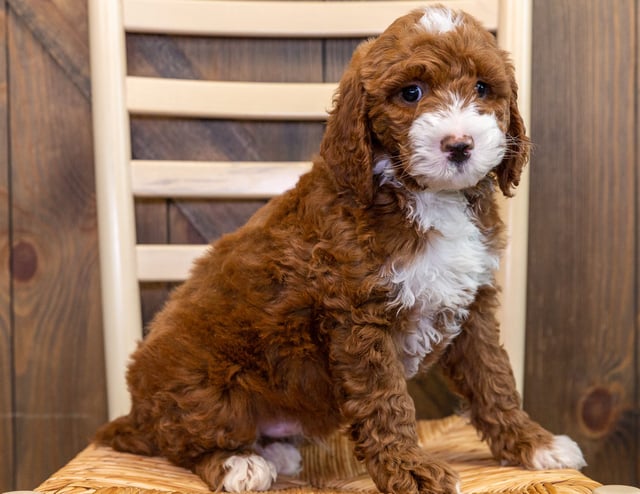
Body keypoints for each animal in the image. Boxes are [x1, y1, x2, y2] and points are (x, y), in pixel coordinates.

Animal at [95, 5, 584, 492]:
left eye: (483, 87)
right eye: (411, 93)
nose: (459, 145)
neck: (424, 196)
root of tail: (133, 413)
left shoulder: (473, 306)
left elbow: (493, 378)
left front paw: (533, 443)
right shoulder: (358, 316)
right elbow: (386, 401)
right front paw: (410, 470)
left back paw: (274, 451)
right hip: (203, 389)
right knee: (180, 440)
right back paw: (239, 463)